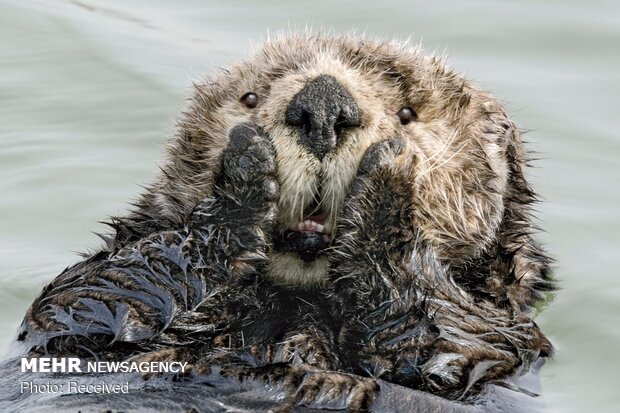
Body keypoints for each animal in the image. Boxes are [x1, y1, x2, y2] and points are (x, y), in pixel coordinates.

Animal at [8, 35, 552, 412]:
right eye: (250, 98)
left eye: (407, 113)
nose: (323, 104)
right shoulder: (73, 316)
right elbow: (87, 300)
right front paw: (246, 166)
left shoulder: (501, 340)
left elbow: (439, 342)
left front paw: (389, 177)